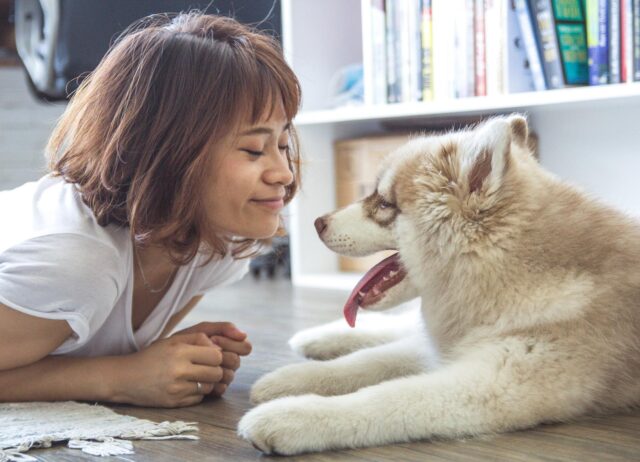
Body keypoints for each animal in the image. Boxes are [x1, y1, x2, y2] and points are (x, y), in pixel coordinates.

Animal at [236, 114, 640, 454]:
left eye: (384, 203)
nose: (317, 223)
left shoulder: (492, 383)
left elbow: (386, 397)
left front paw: (290, 416)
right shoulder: (451, 348)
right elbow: (367, 362)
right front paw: (292, 378)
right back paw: (317, 338)